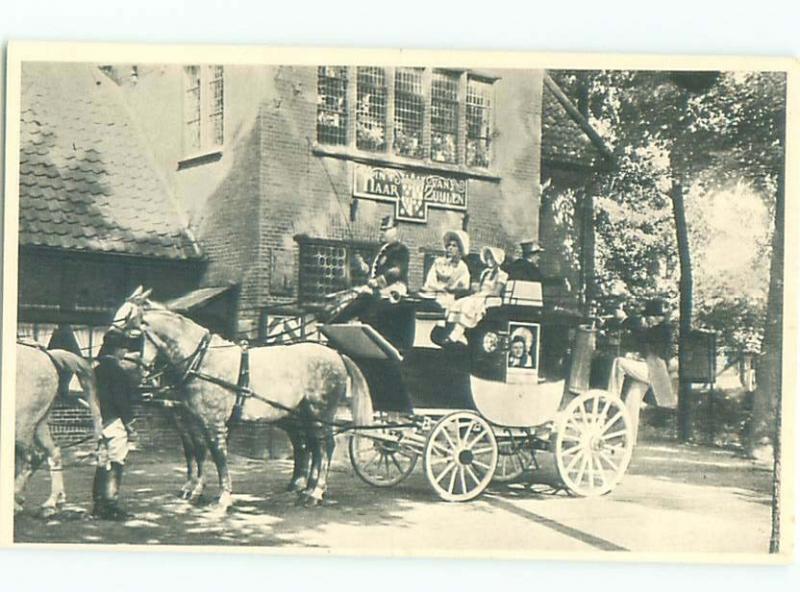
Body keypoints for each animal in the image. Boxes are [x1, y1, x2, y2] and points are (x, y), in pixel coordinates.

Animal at [15, 341, 102, 516]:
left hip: (22, 423)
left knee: (32, 457)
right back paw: (50, 502)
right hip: (39, 423)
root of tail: (47, 356)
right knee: (51, 453)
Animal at [112, 286, 372, 511]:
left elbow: (217, 456)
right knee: (311, 447)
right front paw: (194, 490)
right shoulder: (190, 420)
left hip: (320, 412)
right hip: (303, 414)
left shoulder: (212, 423)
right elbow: (196, 452)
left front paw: (222, 497)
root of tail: (336, 354)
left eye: (127, 322)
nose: (110, 357)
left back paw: (315, 492)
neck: (200, 360)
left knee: (325, 447)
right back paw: (304, 490)